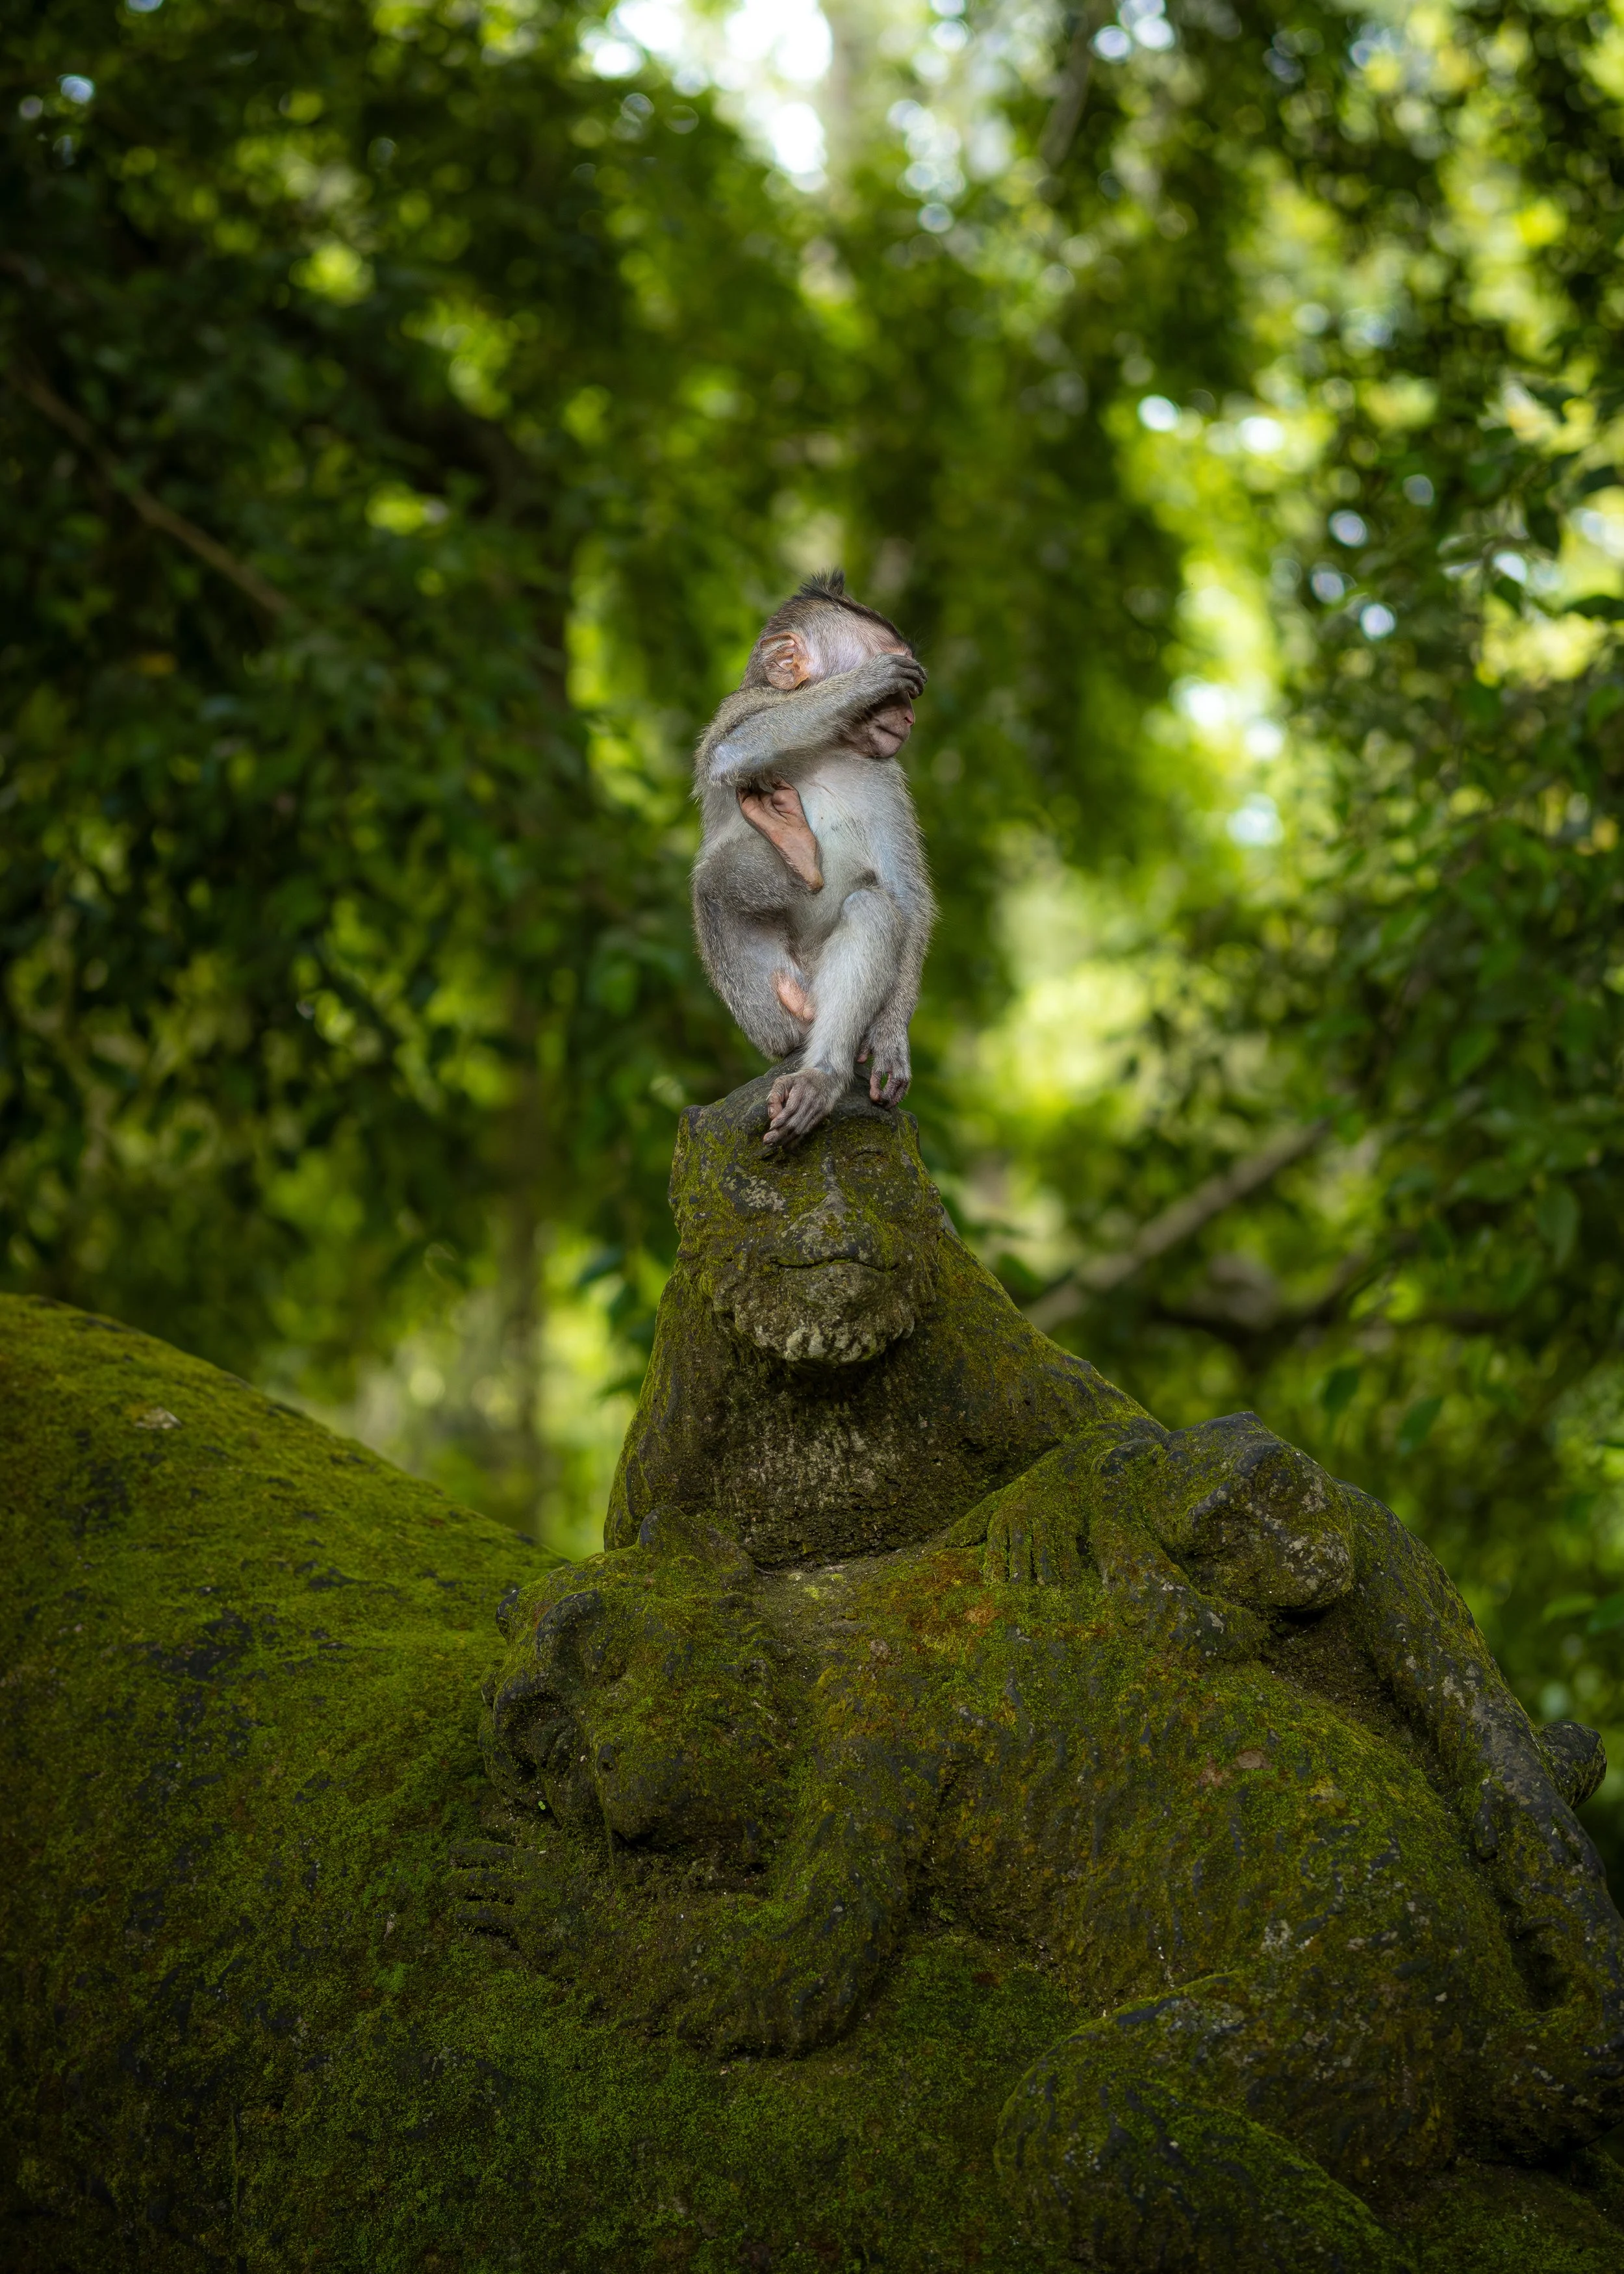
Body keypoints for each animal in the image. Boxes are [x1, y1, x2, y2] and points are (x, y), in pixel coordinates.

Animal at [691, 572, 935, 1149]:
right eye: (900, 696)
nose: (909, 716)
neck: (829, 744)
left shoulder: (886, 775)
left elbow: (906, 895)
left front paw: (892, 1039)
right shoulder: (743, 708)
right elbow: (730, 750)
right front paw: (863, 683)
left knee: (872, 908)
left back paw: (822, 1075)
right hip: (763, 1006)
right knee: (710, 884)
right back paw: (797, 853)